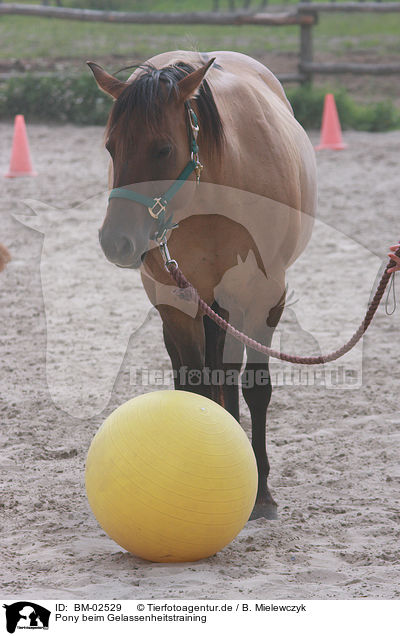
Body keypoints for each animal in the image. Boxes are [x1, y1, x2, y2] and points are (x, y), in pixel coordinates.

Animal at [89, 48, 318, 516]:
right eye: (110, 147)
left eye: (162, 148)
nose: (116, 241)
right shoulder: (176, 300)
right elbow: (195, 384)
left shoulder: (265, 300)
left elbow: (254, 388)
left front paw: (261, 491)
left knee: (226, 375)